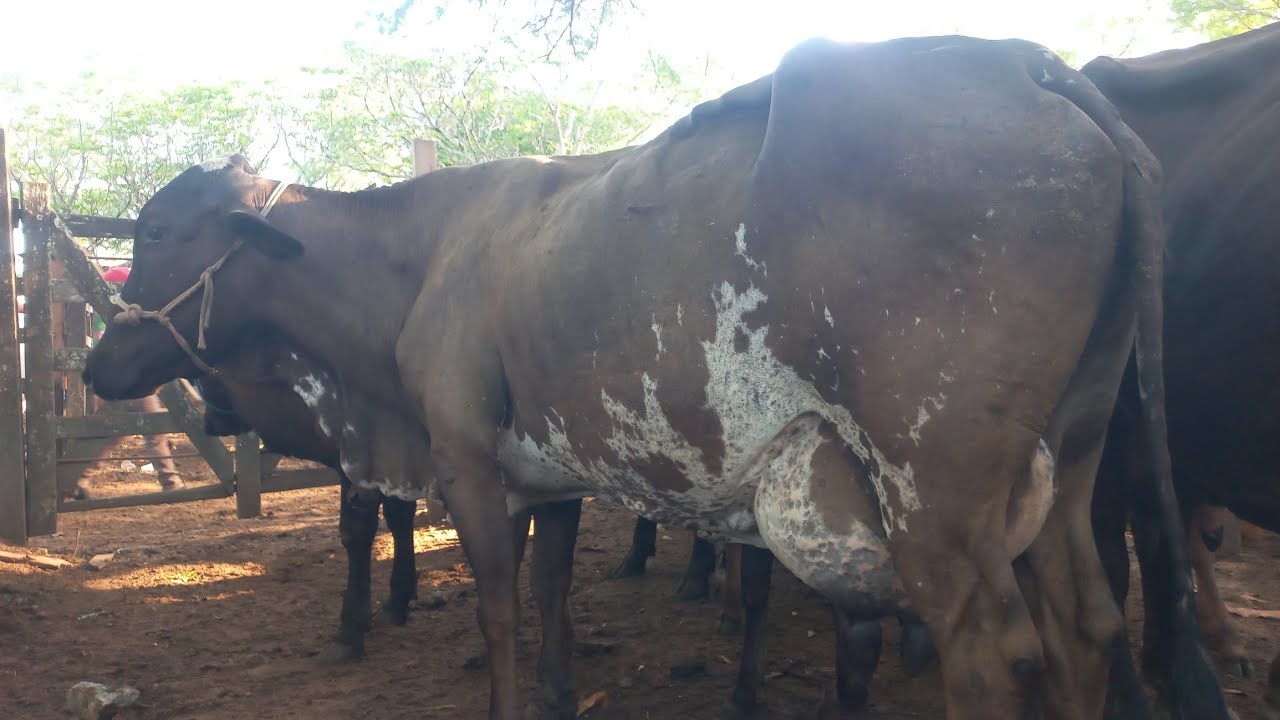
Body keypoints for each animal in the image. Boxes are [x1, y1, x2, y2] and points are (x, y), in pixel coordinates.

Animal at [81, 35, 1224, 719]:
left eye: (156, 231)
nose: (96, 360)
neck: (424, 258)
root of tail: (1020, 61)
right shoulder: (551, 478)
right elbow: (548, 595)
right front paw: (554, 693)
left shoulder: (466, 466)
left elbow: (497, 607)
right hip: (1066, 465)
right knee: (1085, 627)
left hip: (932, 496)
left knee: (993, 658)